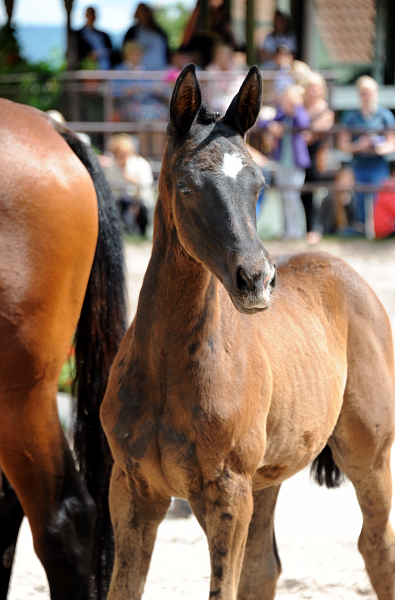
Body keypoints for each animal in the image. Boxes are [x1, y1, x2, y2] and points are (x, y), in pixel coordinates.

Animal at [101, 64, 395, 600]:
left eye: (258, 185)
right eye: (187, 186)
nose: (256, 280)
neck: (166, 369)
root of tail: (346, 271)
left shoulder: (228, 494)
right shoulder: (132, 490)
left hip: (369, 455)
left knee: (377, 546)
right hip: (268, 477)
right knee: (264, 568)